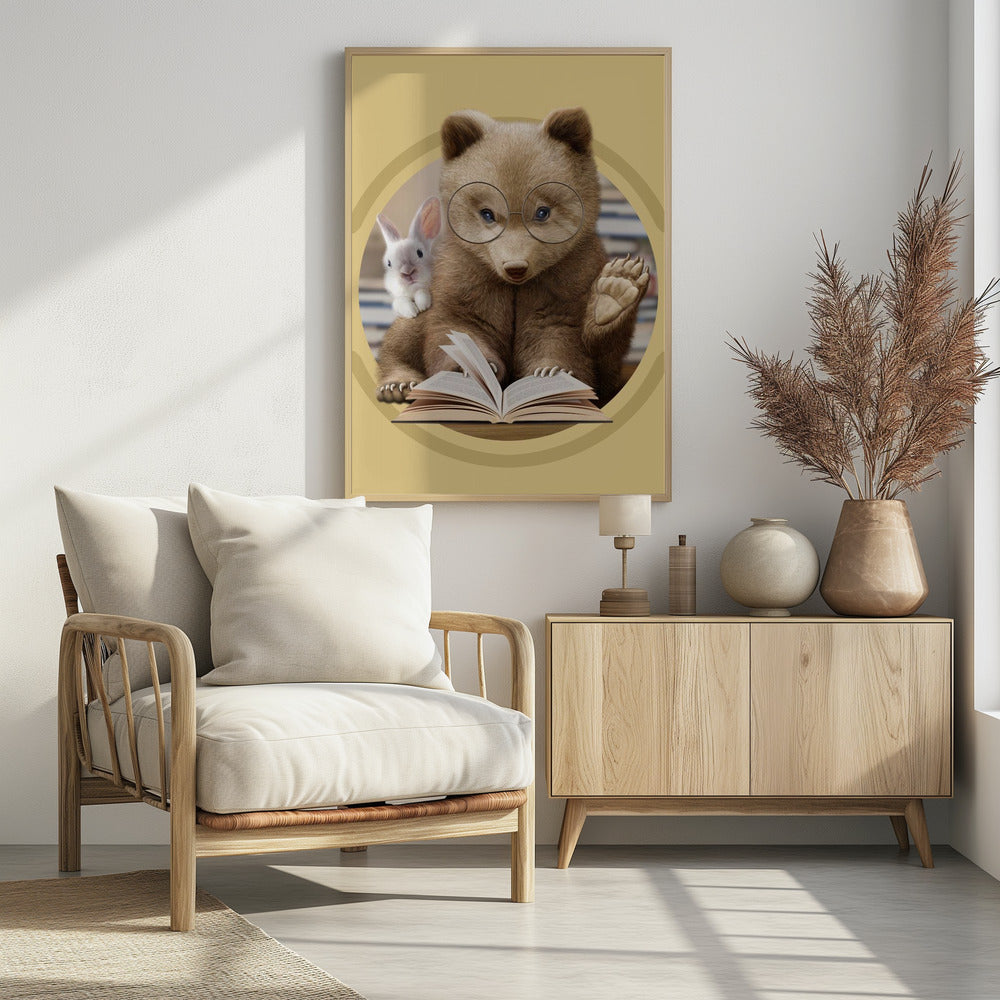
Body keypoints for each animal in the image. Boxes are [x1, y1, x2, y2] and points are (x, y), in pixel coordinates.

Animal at [375, 107, 650, 408]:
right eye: (487, 213)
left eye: (542, 211)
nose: (515, 267)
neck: (516, 285)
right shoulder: (465, 272)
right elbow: (459, 324)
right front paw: (470, 368)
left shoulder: (571, 272)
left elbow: (557, 330)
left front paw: (549, 373)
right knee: (405, 333)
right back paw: (398, 383)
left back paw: (616, 292)